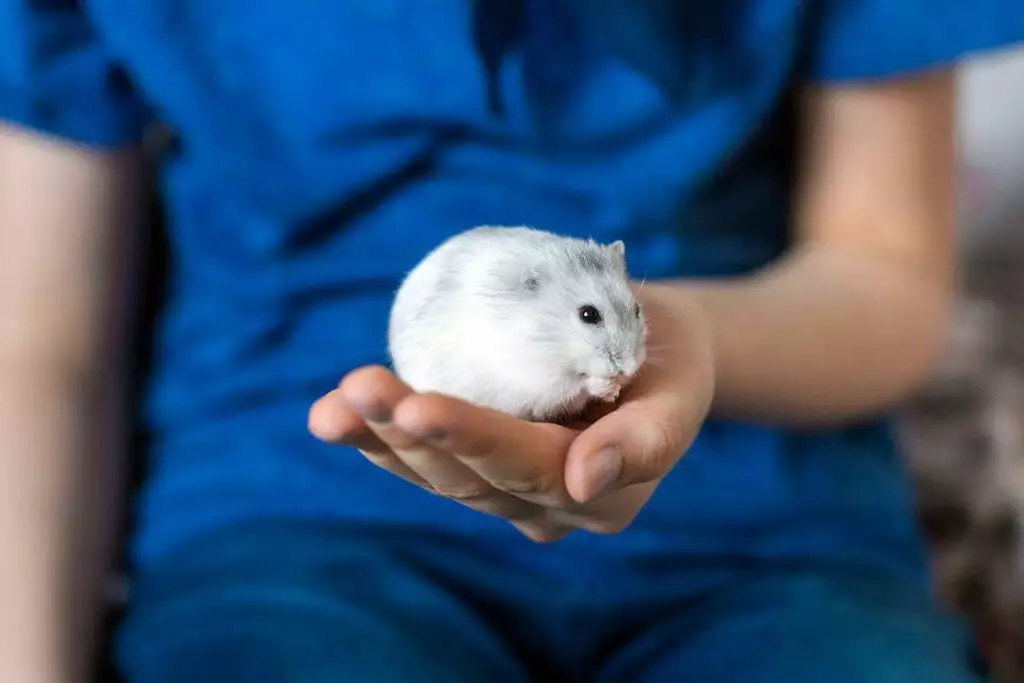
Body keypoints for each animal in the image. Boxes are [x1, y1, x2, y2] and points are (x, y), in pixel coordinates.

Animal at [387, 225, 648, 422]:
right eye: (588, 315)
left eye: (636, 310)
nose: (628, 369)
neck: (549, 339)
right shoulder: (537, 380)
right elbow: (576, 385)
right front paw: (607, 388)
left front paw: (615, 389)